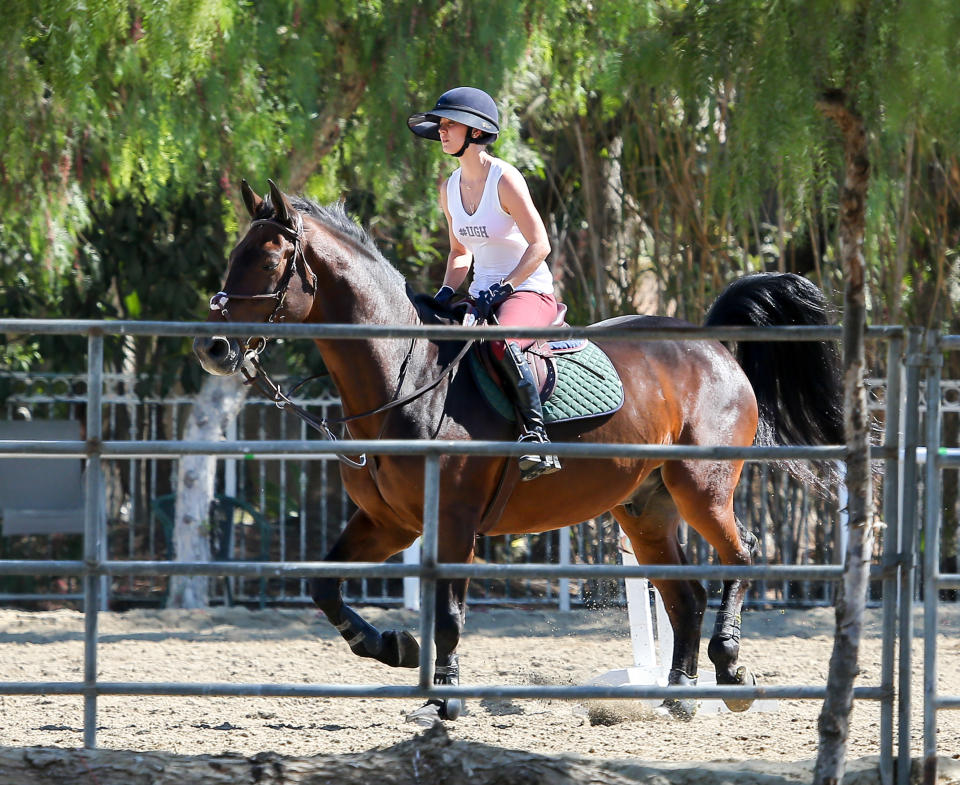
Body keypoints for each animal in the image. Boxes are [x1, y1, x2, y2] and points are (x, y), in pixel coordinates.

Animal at [193, 181, 840, 720]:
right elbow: (324, 586)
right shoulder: (387, 522)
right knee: (687, 594)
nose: (212, 347)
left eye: (268, 261)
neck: (405, 378)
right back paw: (679, 696)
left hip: (701, 488)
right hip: (645, 507)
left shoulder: (454, 522)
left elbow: (449, 613)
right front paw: (393, 645)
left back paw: (731, 669)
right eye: (232, 256)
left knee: (742, 555)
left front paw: (445, 698)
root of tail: (711, 346)